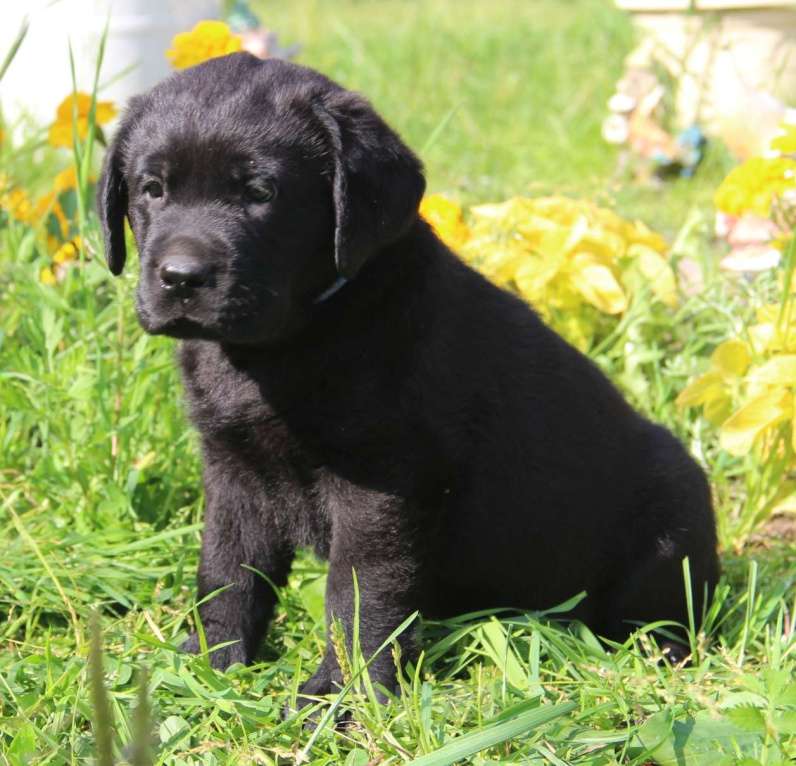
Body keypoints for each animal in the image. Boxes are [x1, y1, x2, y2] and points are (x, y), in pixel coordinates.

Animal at [98, 51, 720, 704]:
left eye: (261, 193)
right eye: (152, 188)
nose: (180, 277)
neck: (296, 337)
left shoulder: (381, 481)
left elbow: (357, 592)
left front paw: (346, 697)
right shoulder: (234, 469)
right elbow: (226, 570)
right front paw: (207, 666)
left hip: (670, 519)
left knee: (665, 613)